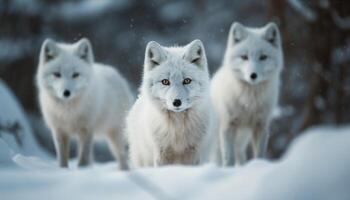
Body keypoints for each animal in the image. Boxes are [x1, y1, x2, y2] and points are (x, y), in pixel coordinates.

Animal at [36, 38, 133, 170]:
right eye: (57, 74)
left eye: (75, 74)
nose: (66, 93)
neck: (68, 113)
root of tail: (119, 76)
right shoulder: (59, 131)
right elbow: (62, 159)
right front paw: (63, 170)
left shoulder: (86, 130)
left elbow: (82, 159)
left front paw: (81, 170)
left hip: (115, 136)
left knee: (122, 157)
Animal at [126, 39, 213, 167]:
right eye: (165, 82)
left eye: (187, 80)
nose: (176, 102)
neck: (177, 127)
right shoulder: (161, 153)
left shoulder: (194, 153)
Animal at [212, 22, 284, 166]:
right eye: (244, 57)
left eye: (263, 57)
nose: (253, 75)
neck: (249, 101)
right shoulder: (228, 127)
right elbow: (228, 159)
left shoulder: (260, 126)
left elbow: (259, 155)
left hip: (242, 139)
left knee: (240, 155)